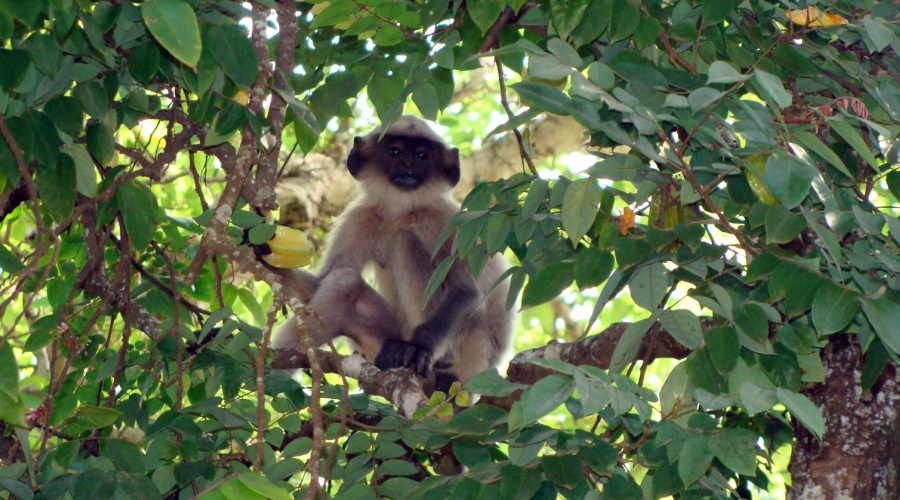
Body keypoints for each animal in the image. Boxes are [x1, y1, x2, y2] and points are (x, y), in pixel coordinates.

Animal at [270, 115, 512, 388]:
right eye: (395, 151)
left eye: (421, 155)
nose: (408, 163)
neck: (402, 212)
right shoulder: (361, 219)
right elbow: (318, 284)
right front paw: (258, 248)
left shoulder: (445, 221)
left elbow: (466, 291)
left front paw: (420, 348)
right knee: (344, 283)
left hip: (467, 347)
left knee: (403, 240)